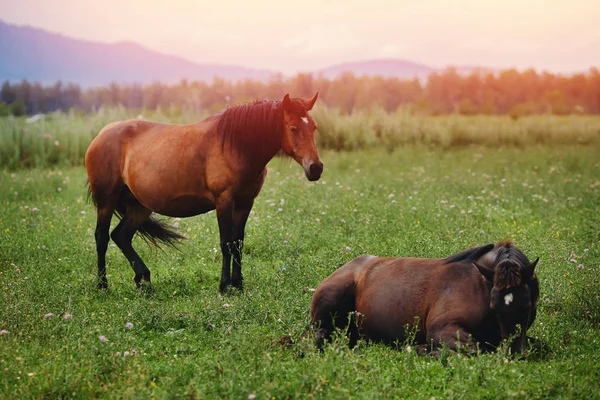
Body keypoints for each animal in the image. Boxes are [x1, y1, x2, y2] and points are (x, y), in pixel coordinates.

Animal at [84, 94, 324, 294]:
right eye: (293, 128)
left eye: (313, 127)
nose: (315, 168)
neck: (235, 145)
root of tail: (100, 135)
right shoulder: (224, 202)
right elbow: (226, 243)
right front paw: (225, 286)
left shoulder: (245, 203)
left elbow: (238, 243)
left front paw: (238, 284)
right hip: (106, 202)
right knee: (102, 237)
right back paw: (103, 285)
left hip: (139, 207)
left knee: (121, 236)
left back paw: (144, 279)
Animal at [310, 242, 540, 354]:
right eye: (494, 306)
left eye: (528, 305)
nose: (514, 352)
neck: (479, 284)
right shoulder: (441, 328)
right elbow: (476, 348)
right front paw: (421, 349)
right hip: (328, 304)